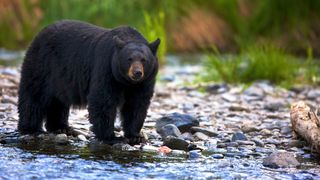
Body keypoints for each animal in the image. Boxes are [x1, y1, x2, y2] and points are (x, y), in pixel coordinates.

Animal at [17, 20, 160, 145]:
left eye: (144, 60)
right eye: (129, 59)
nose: (137, 73)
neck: (126, 81)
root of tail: (40, 33)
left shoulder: (145, 82)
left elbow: (137, 105)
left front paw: (135, 136)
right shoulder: (106, 68)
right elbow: (103, 100)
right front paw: (111, 137)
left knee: (58, 102)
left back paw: (61, 128)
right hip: (42, 65)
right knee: (34, 96)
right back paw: (31, 128)